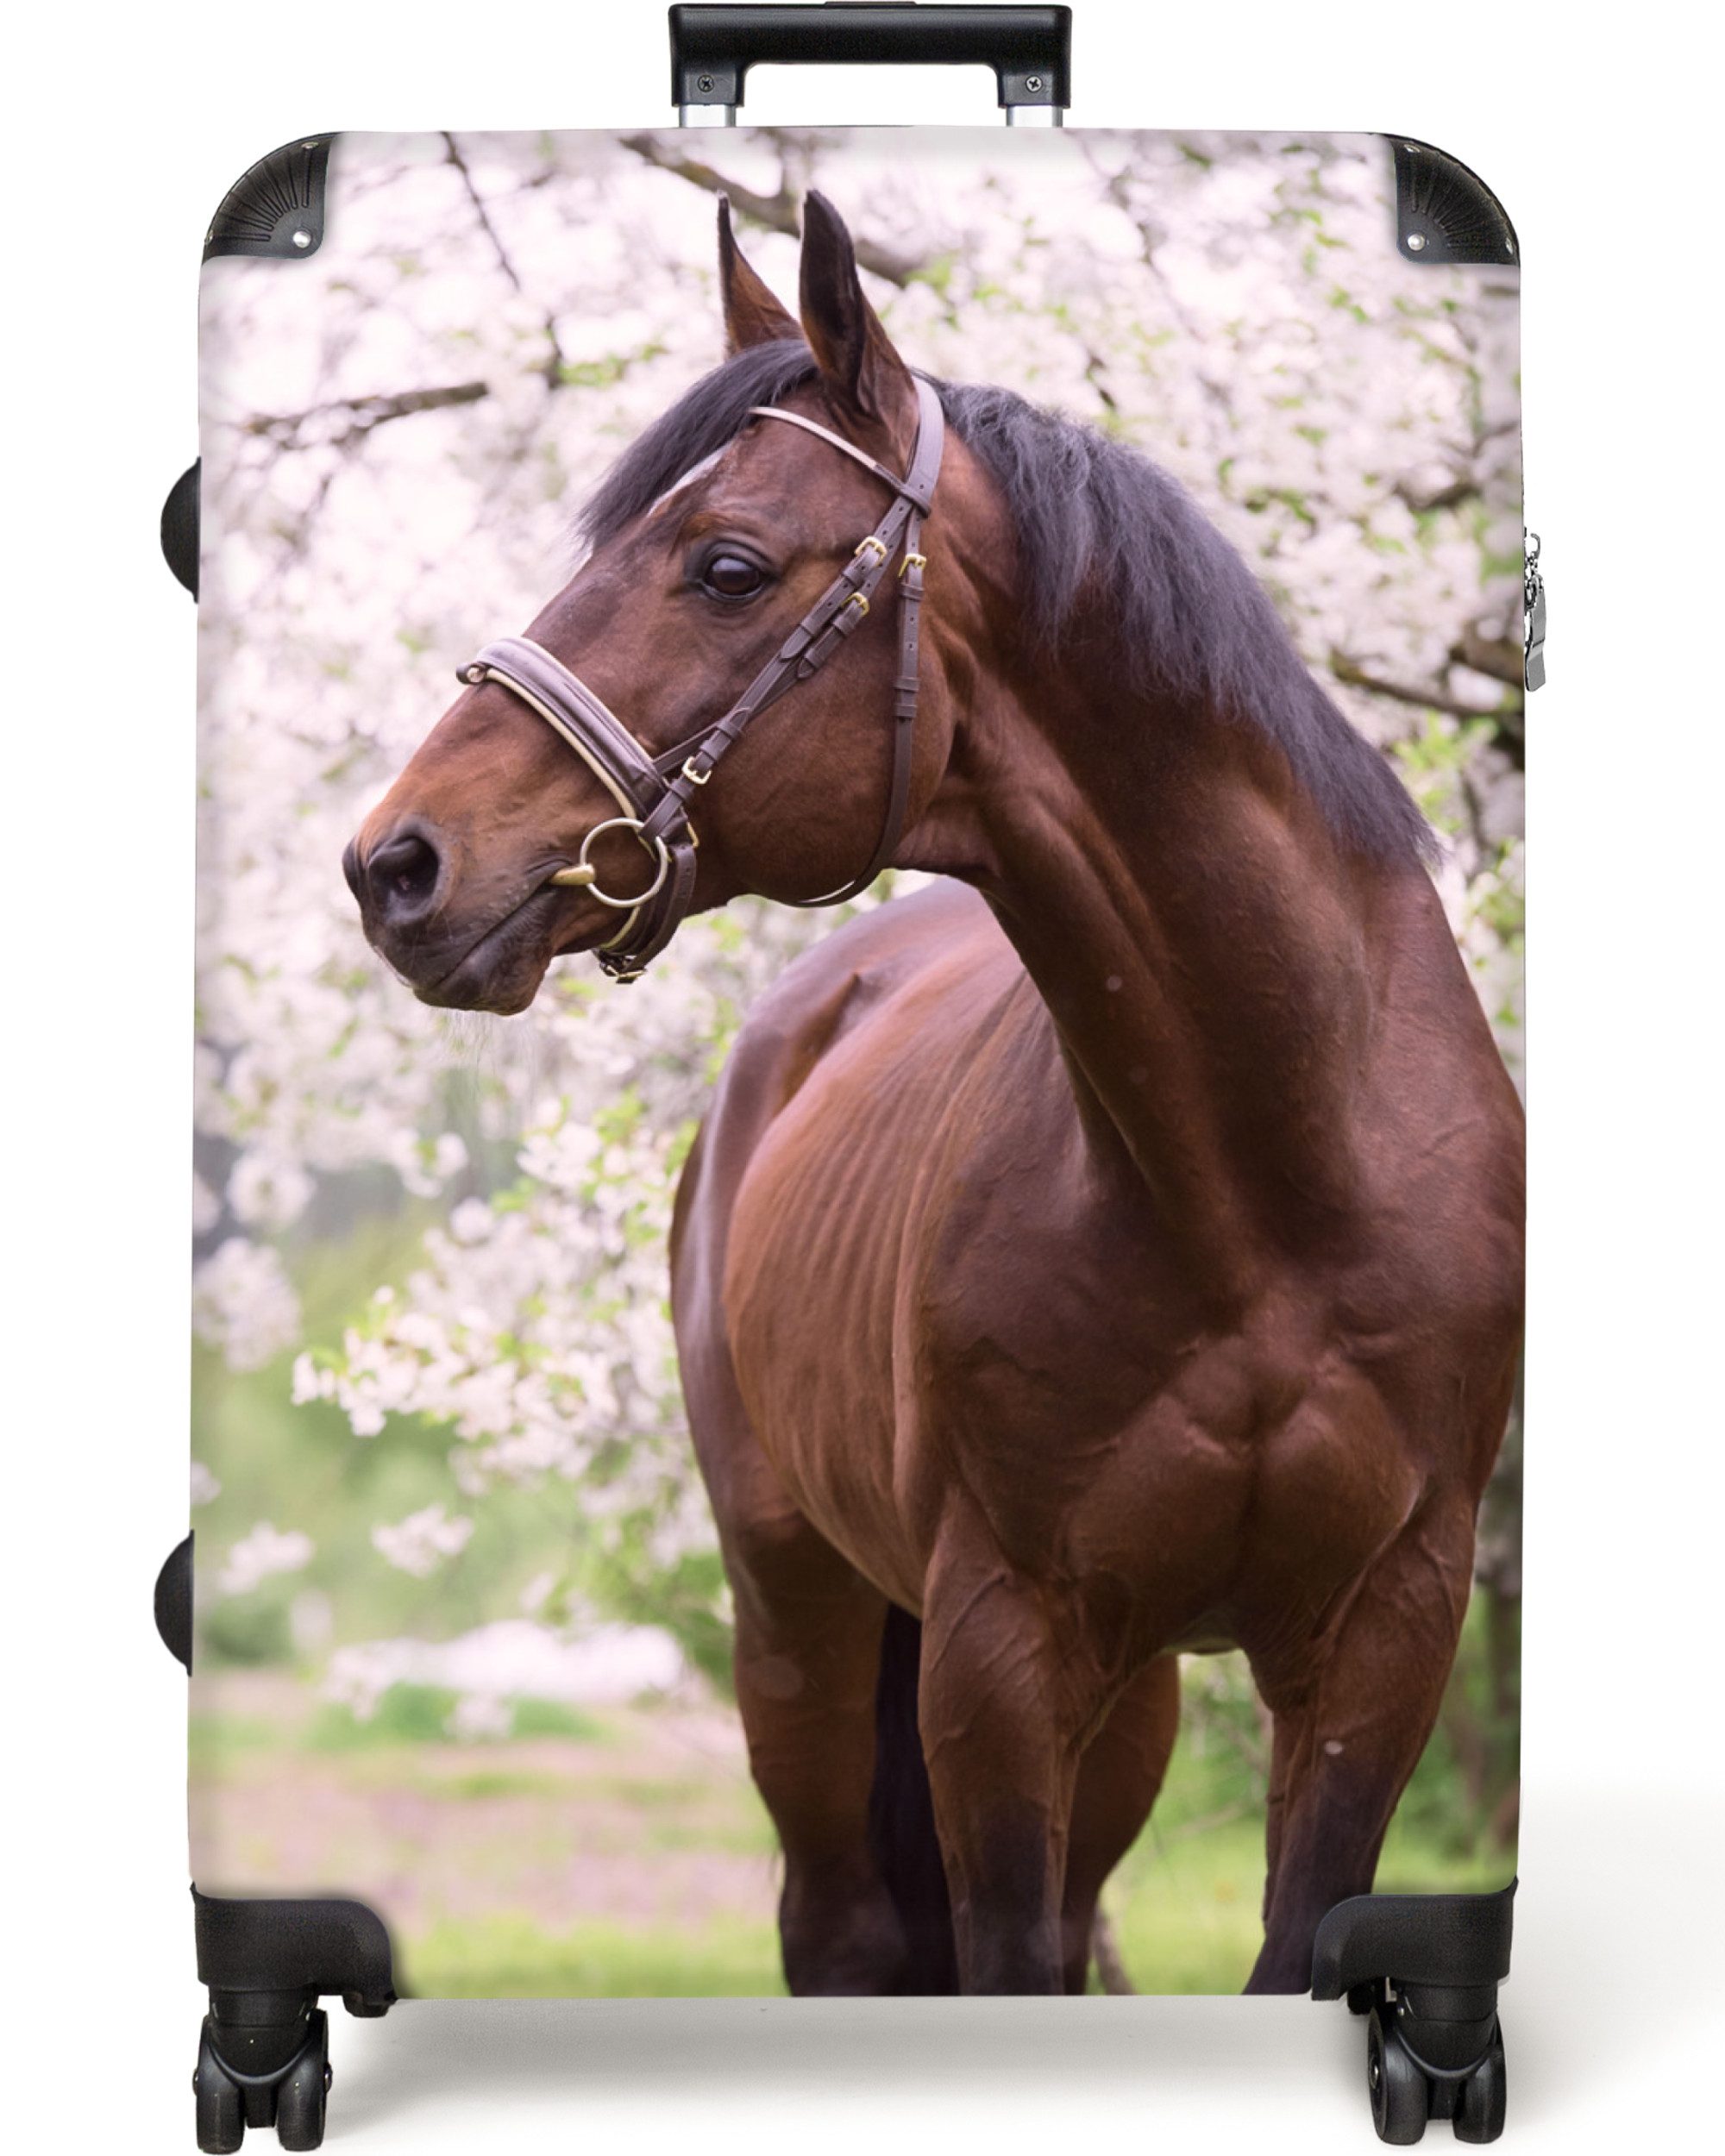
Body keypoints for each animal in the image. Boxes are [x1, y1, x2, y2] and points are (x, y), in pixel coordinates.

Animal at [346, 193, 1525, 1997]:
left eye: (727, 564)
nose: (396, 865)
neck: (1277, 1179)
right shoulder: (998, 1650)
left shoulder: (1383, 1635)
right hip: (804, 1627)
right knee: (841, 1927)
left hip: (1130, 1697)